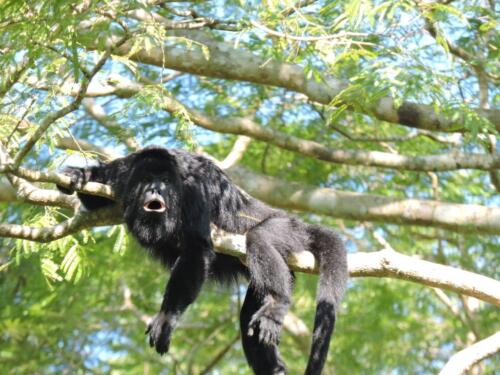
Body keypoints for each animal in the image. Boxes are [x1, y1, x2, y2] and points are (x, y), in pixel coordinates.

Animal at [58, 147, 348, 375]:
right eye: (147, 179)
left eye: (164, 181)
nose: (155, 188)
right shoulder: (121, 172)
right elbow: (95, 197)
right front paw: (79, 175)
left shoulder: (193, 190)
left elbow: (197, 248)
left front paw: (166, 319)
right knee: (248, 319)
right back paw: (274, 368)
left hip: (288, 229)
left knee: (259, 238)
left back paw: (277, 302)